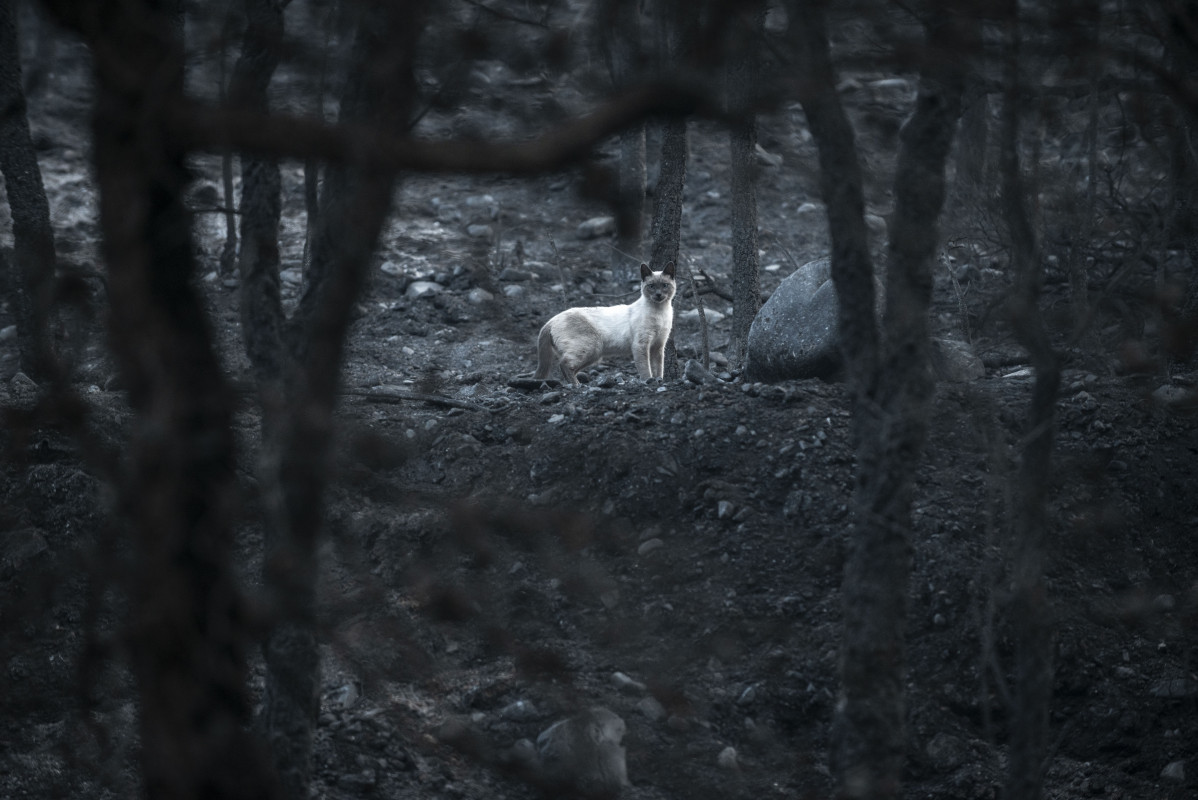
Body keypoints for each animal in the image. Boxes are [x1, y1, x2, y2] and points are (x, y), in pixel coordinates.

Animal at [534, 261, 675, 385]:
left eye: (664, 285)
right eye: (651, 286)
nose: (658, 294)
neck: (660, 312)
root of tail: (551, 320)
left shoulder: (658, 346)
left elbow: (659, 369)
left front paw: (659, 381)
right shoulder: (641, 344)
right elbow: (645, 369)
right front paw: (648, 382)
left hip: (594, 354)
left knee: (569, 367)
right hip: (591, 347)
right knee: (564, 364)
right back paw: (577, 386)